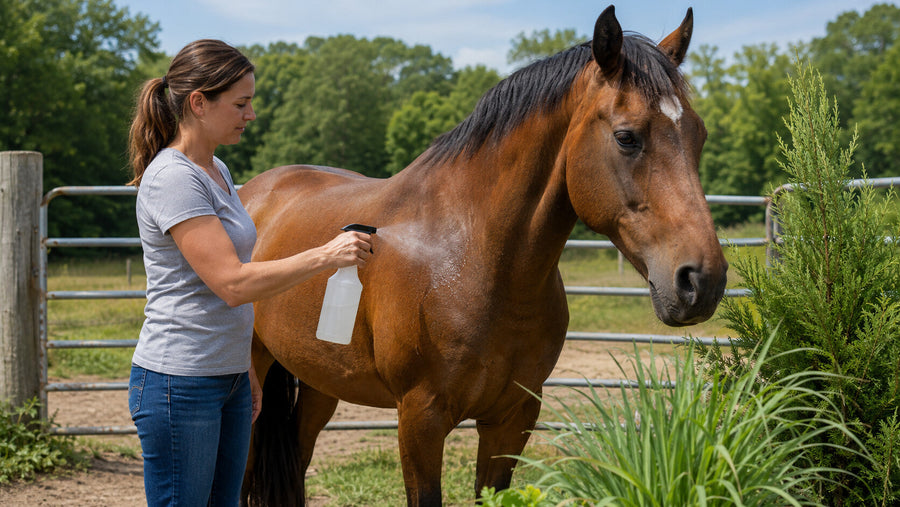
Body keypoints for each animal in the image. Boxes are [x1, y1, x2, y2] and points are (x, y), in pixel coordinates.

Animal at [239, 6, 727, 506]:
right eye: (627, 137)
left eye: (700, 135)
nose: (702, 280)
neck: (472, 258)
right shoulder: (420, 419)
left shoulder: (511, 419)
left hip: (320, 381)